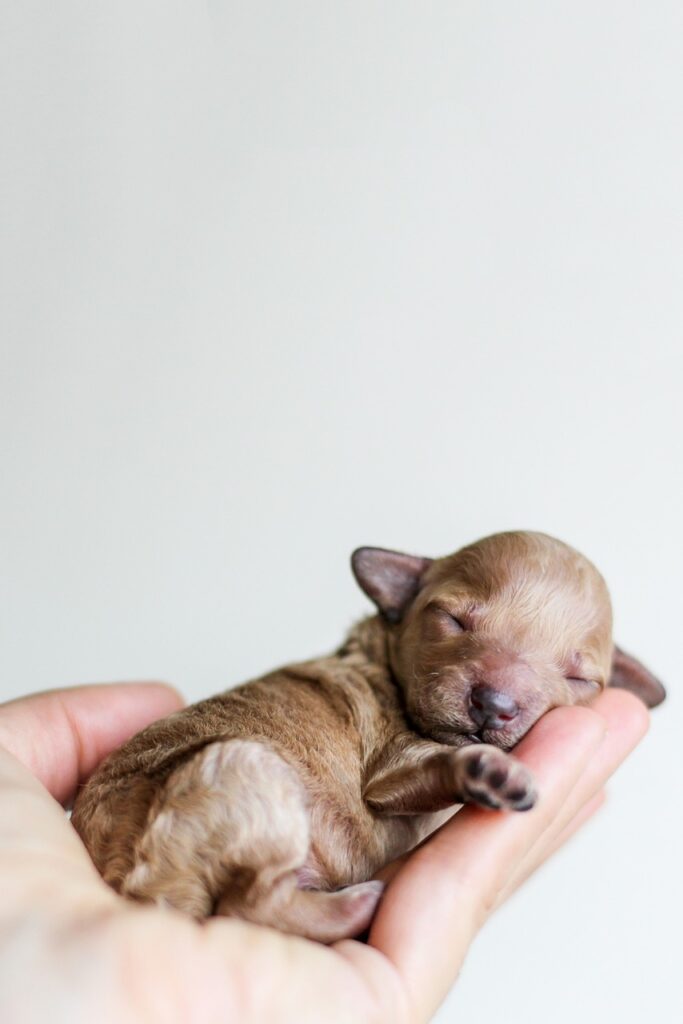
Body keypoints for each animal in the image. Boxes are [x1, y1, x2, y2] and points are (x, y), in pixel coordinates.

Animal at [72, 536, 663, 942]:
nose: (494, 703)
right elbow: (432, 763)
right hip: (248, 770)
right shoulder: (392, 764)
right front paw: (486, 770)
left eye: (580, 679)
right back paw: (358, 904)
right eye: (453, 620)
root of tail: (131, 881)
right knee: (249, 904)